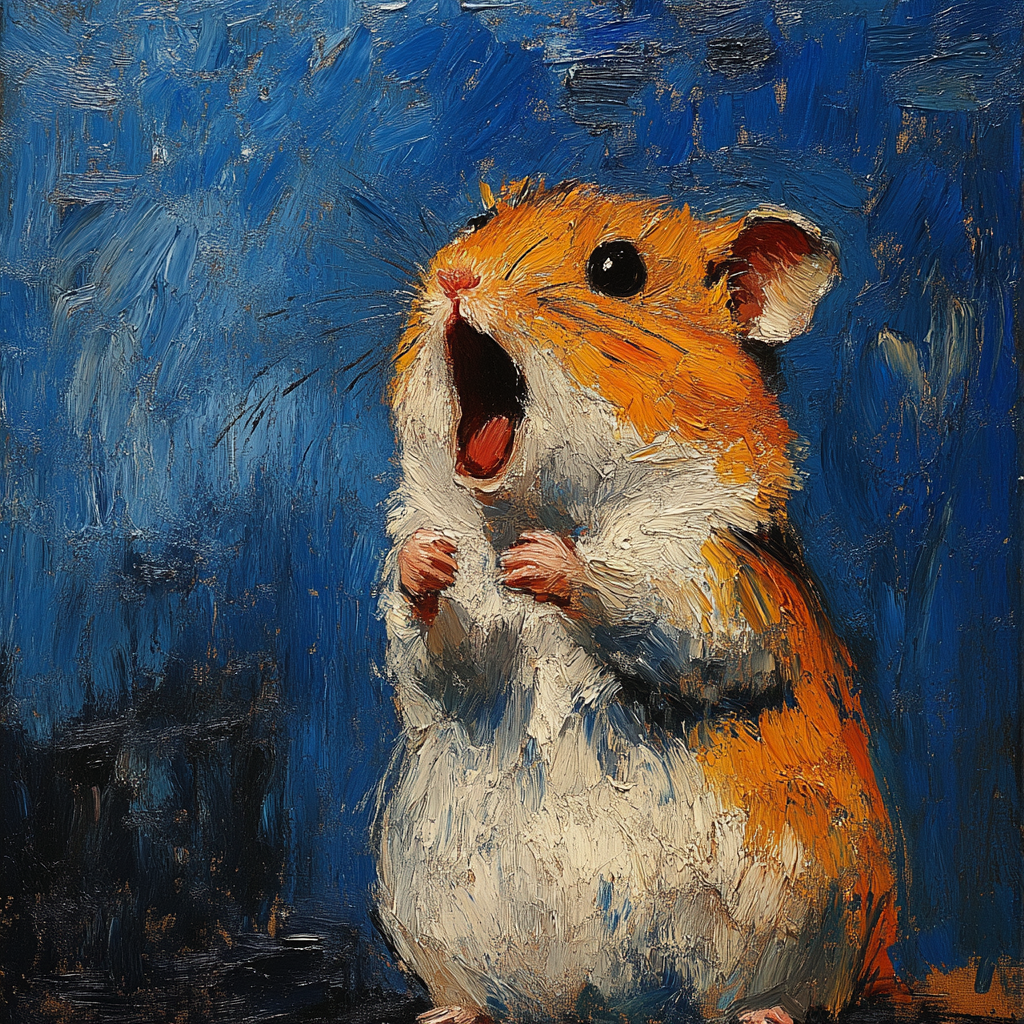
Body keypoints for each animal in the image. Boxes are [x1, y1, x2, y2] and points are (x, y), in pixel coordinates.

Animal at [374, 180, 896, 1024]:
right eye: (475, 222)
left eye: (618, 269)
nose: (456, 279)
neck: (534, 508)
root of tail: (611, 1002)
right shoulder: (453, 659)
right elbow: (440, 655)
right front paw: (426, 560)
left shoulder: (719, 586)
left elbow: (658, 616)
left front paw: (544, 563)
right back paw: (448, 1012)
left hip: (813, 912)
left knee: (787, 994)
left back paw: (764, 1014)